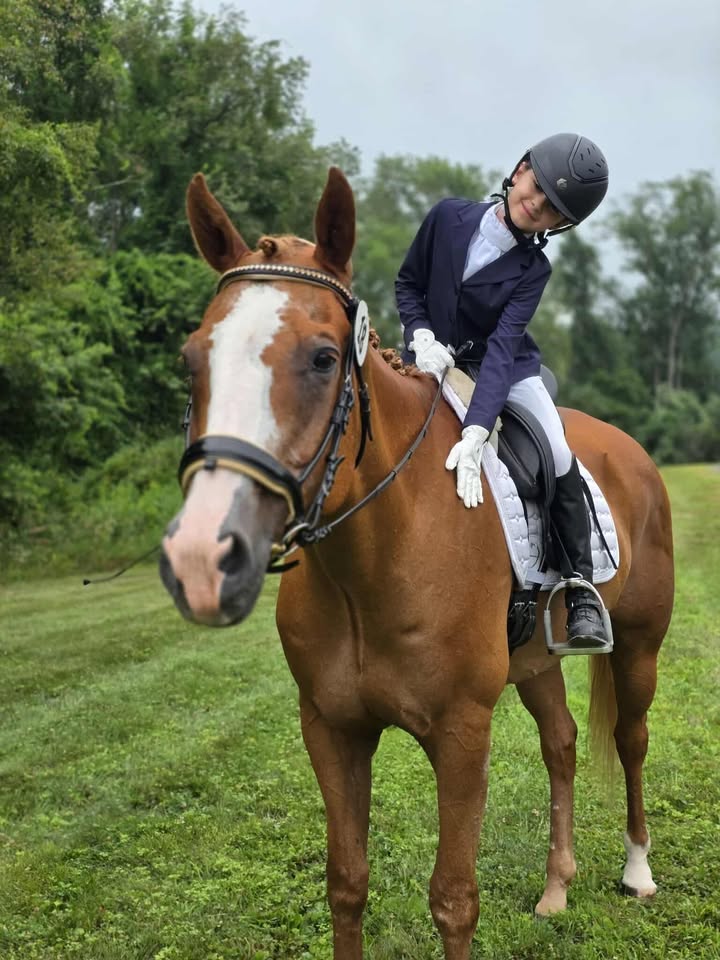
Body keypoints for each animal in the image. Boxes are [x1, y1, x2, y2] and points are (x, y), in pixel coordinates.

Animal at [159, 166, 674, 960]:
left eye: (323, 357)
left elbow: (454, 900)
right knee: (561, 745)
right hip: (537, 663)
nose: (201, 558)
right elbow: (346, 886)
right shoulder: (332, 729)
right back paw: (556, 888)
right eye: (192, 360)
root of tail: (632, 451)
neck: (368, 567)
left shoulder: (461, 734)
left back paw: (637, 871)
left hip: (640, 646)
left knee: (631, 739)